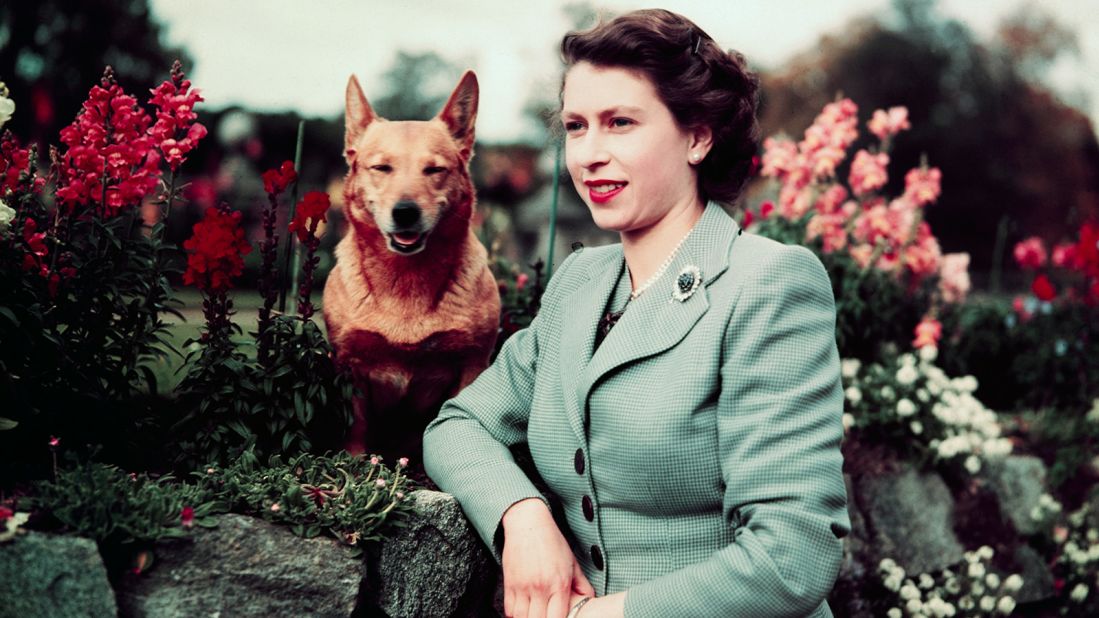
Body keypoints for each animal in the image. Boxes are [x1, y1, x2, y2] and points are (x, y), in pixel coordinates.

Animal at [320, 69, 503, 464]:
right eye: (381, 168)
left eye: (434, 169)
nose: (405, 212)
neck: (406, 279)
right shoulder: (349, 363)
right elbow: (356, 425)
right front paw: (354, 464)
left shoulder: (472, 364)